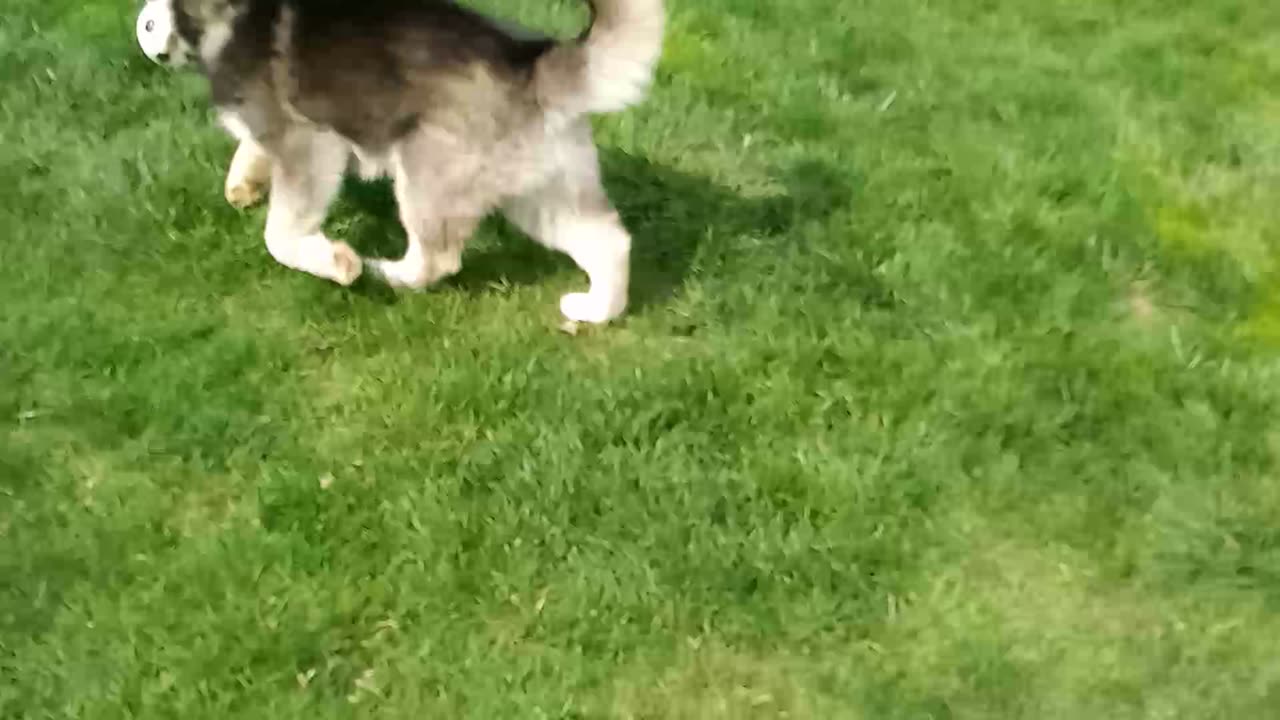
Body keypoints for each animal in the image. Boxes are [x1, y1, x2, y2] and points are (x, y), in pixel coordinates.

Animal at [154, 0, 665, 322]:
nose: (149, 34)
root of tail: (533, 69)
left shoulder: (310, 142)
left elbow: (280, 235)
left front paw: (334, 261)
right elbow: (252, 150)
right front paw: (244, 183)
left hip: (425, 175)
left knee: (437, 259)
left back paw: (385, 273)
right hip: (541, 194)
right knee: (610, 241)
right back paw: (597, 310)